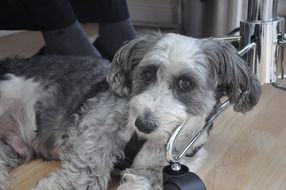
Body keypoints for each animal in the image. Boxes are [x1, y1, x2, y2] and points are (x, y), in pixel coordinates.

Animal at [0, 33, 260, 189]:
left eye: (185, 83)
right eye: (147, 73)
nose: (143, 124)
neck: (152, 140)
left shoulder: (162, 170)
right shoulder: (94, 127)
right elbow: (87, 168)